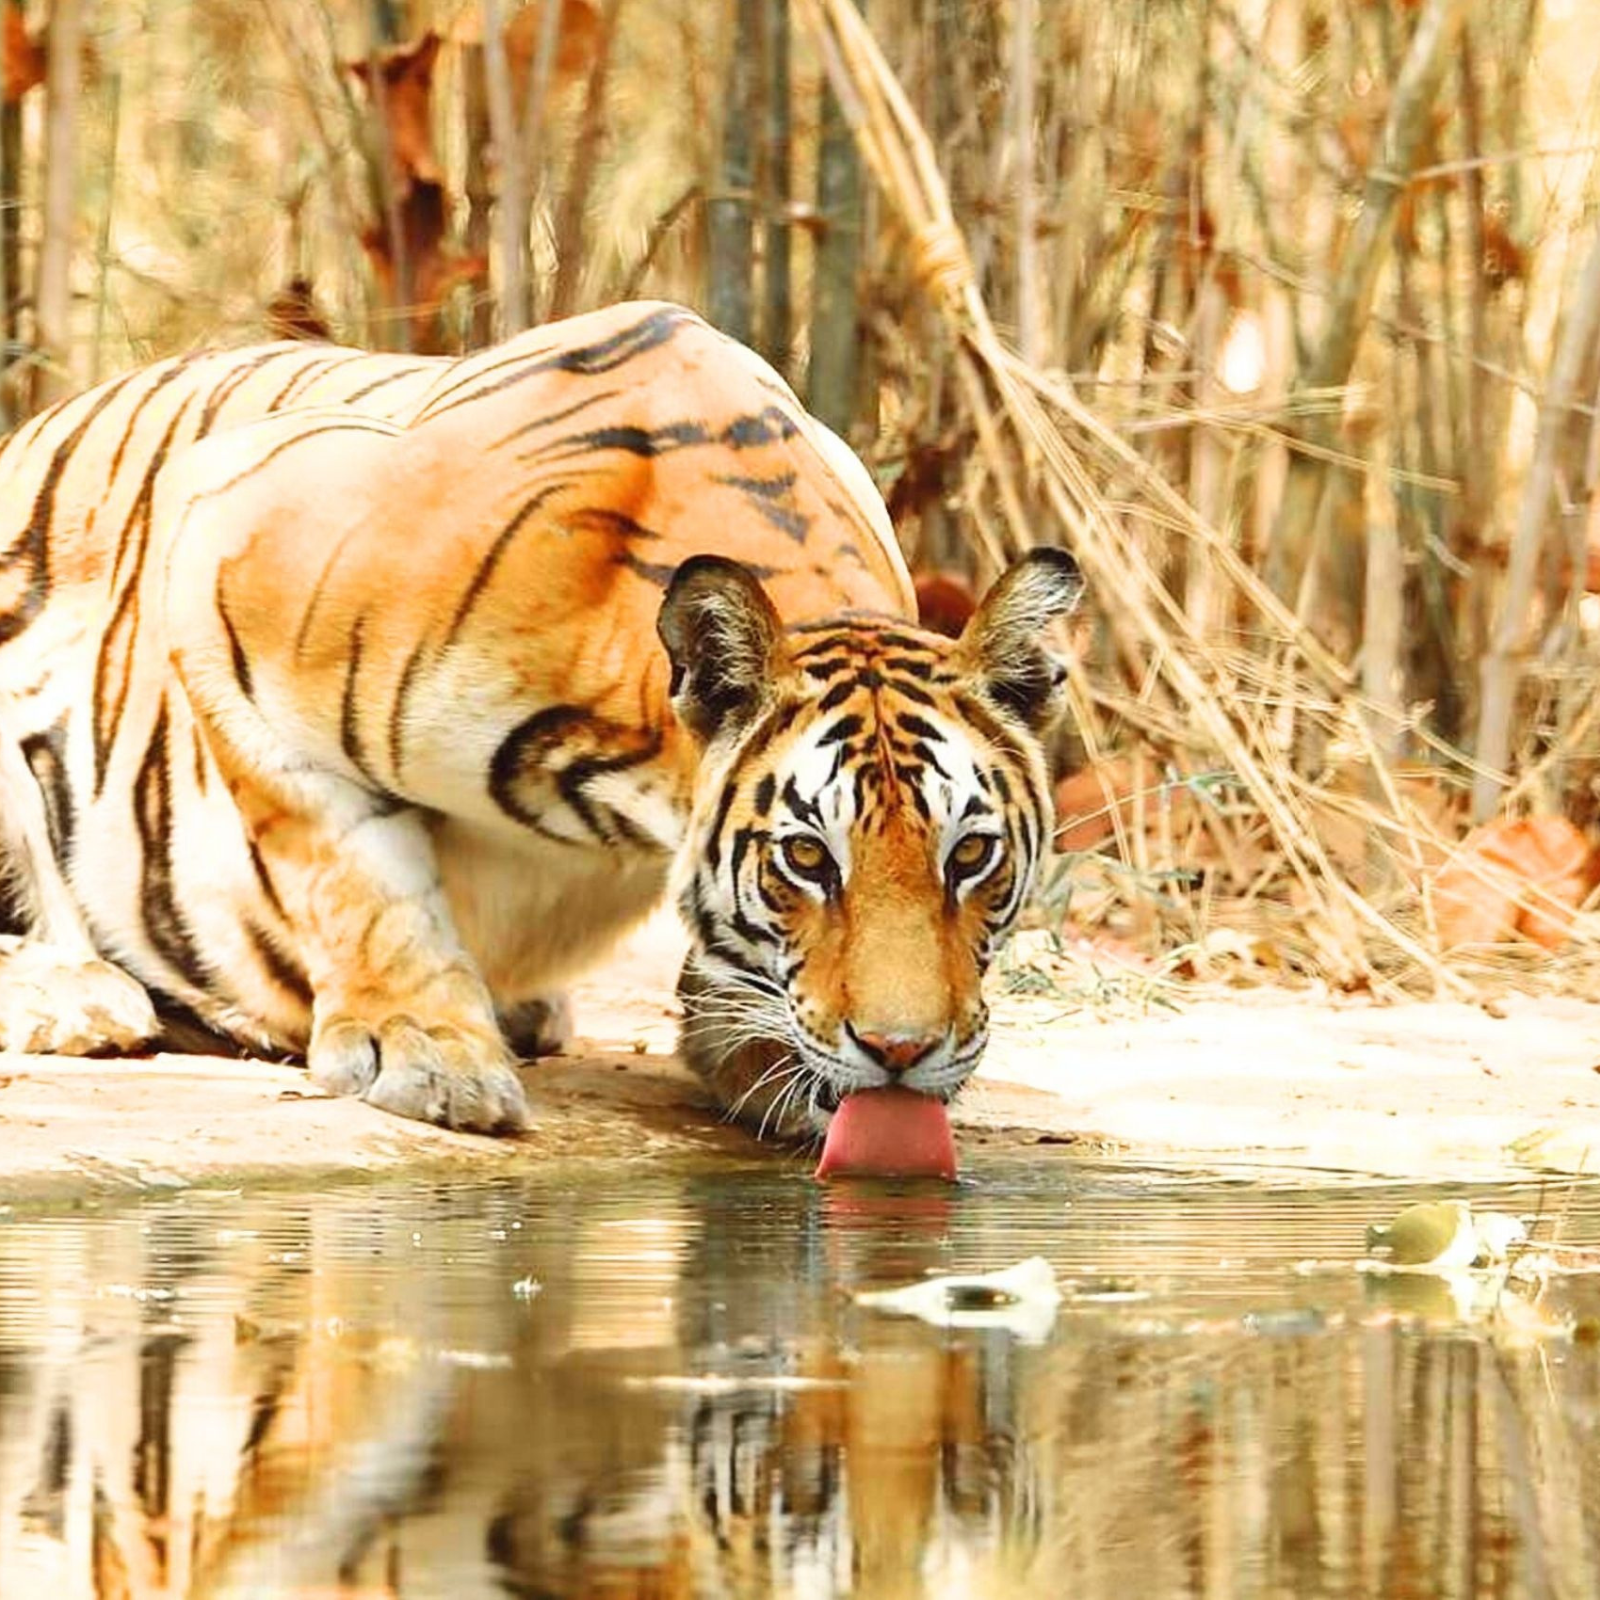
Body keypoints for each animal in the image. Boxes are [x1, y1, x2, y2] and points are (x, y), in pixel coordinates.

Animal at [0, 300, 1082, 1140]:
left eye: (971, 855)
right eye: (808, 859)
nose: (902, 1052)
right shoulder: (226, 532)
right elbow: (350, 868)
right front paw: (423, 1052)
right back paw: (78, 996)